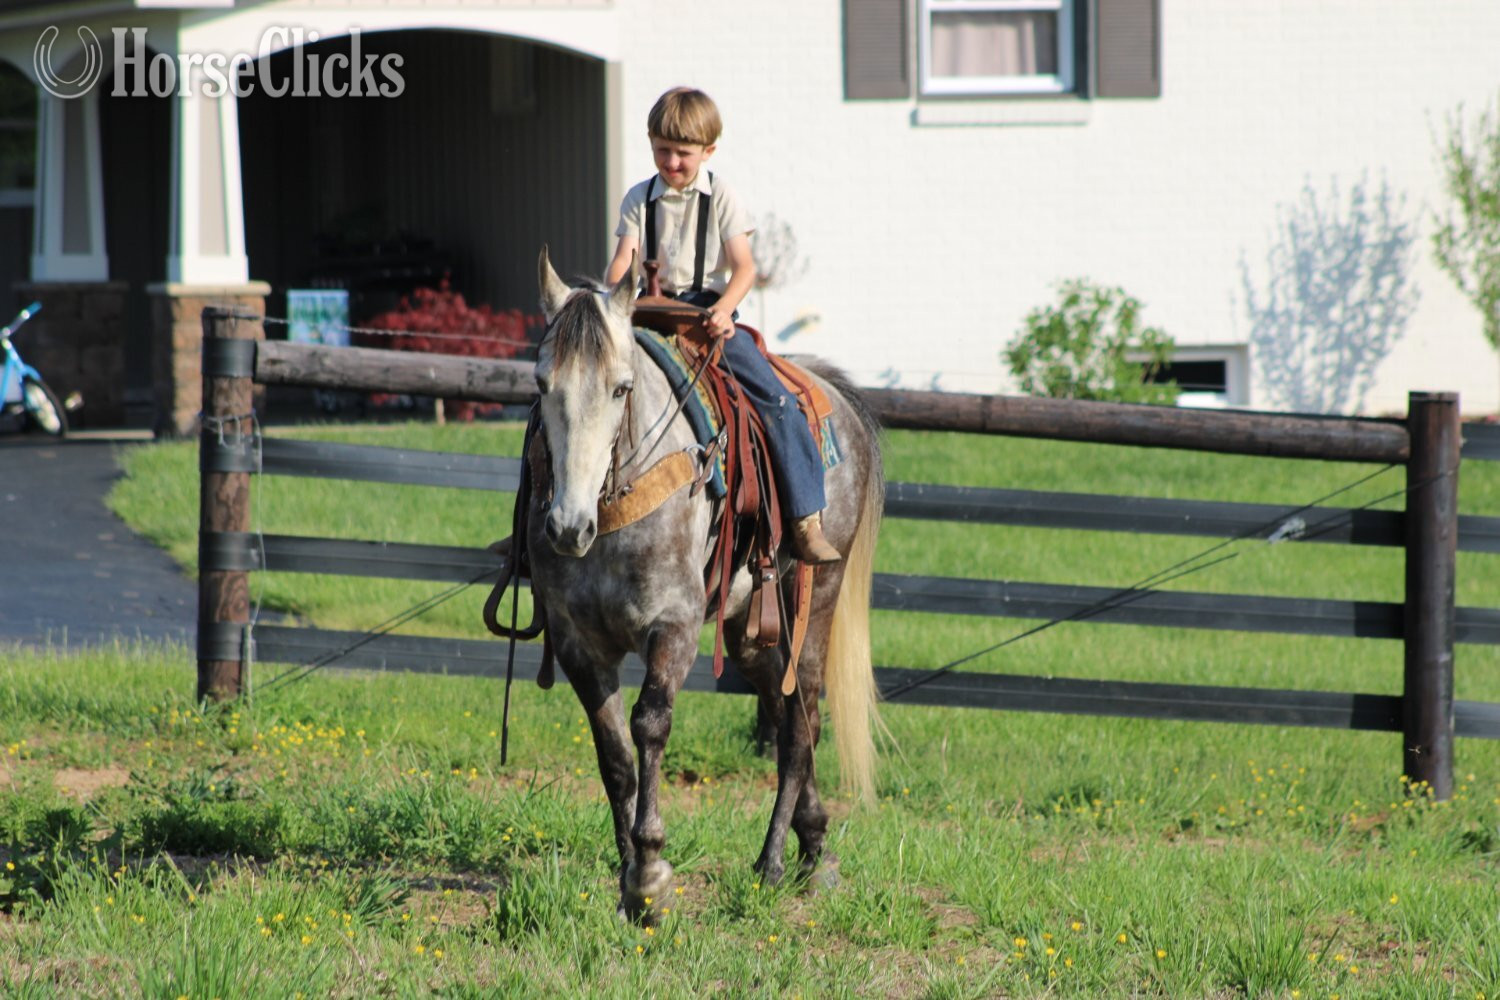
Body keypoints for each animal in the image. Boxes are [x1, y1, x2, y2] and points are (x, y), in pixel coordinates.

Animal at [519, 248, 884, 918]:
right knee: (782, 706)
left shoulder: (676, 625)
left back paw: (774, 863)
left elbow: (649, 725)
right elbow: (614, 754)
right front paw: (626, 880)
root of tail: (828, 391)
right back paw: (815, 846)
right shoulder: (579, 642)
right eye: (540, 384)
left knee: (804, 718)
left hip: (817, 596)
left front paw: (649, 874)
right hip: (748, 626)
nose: (567, 526)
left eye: (621, 387)